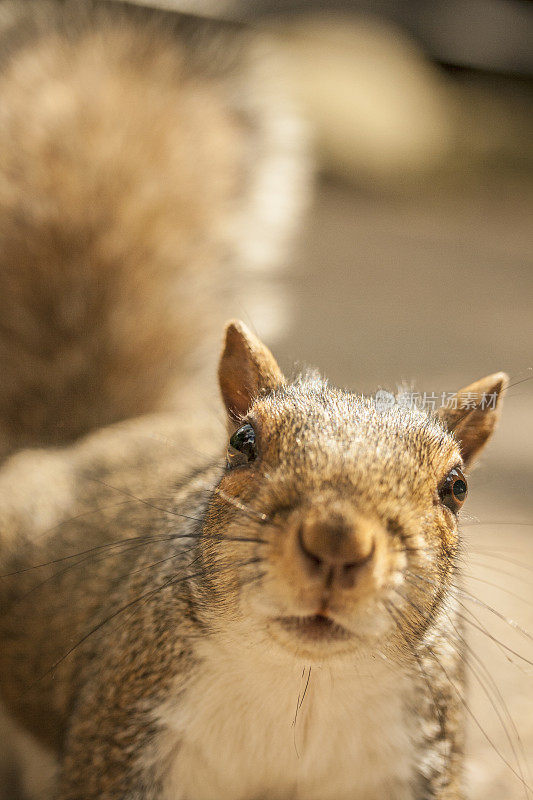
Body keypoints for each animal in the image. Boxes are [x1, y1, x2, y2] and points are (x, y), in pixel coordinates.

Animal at [0, 1, 510, 800]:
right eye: (243, 443)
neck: (301, 682)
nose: (338, 543)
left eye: (455, 487)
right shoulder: (124, 738)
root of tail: (84, 439)